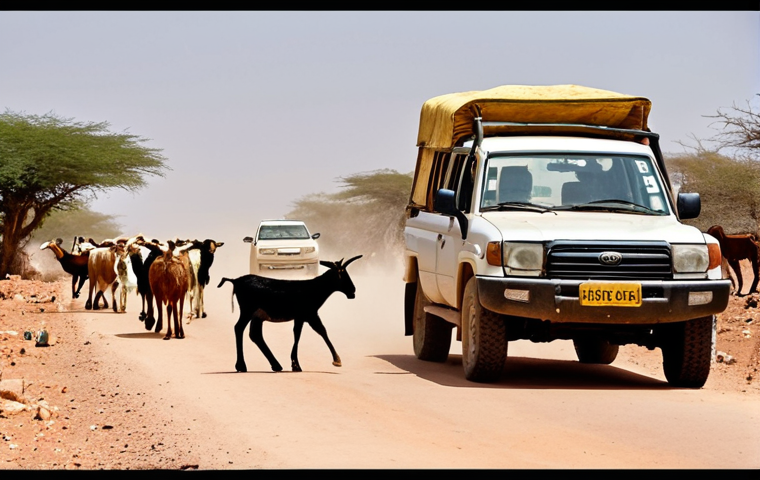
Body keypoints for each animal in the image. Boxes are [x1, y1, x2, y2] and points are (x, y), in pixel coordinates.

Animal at [217, 255, 362, 373]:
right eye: (343, 274)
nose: (353, 290)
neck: (314, 289)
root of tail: (236, 281)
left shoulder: (300, 316)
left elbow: (297, 334)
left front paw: (295, 364)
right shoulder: (309, 314)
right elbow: (320, 331)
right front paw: (336, 360)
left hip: (257, 315)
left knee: (255, 334)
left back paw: (276, 365)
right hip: (247, 309)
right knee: (239, 328)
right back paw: (241, 366)